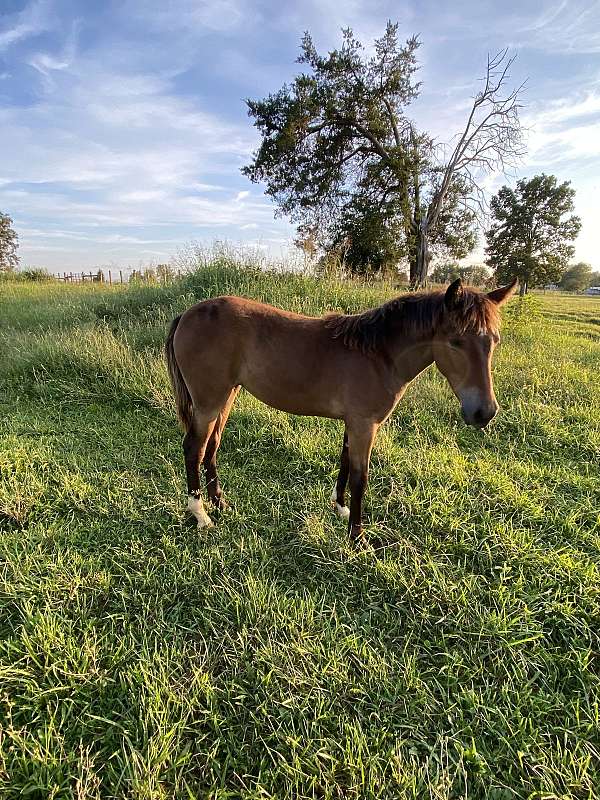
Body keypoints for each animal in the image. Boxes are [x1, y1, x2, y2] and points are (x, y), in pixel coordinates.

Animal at [166, 276, 516, 544]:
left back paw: (220, 503)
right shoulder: (365, 424)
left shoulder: (354, 423)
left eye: (495, 341)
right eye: (456, 341)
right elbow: (361, 476)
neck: (379, 355)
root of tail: (188, 313)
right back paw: (200, 515)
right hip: (209, 403)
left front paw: (341, 509)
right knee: (194, 448)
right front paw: (357, 538)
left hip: (226, 397)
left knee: (211, 447)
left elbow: (345, 464)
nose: (484, 412)